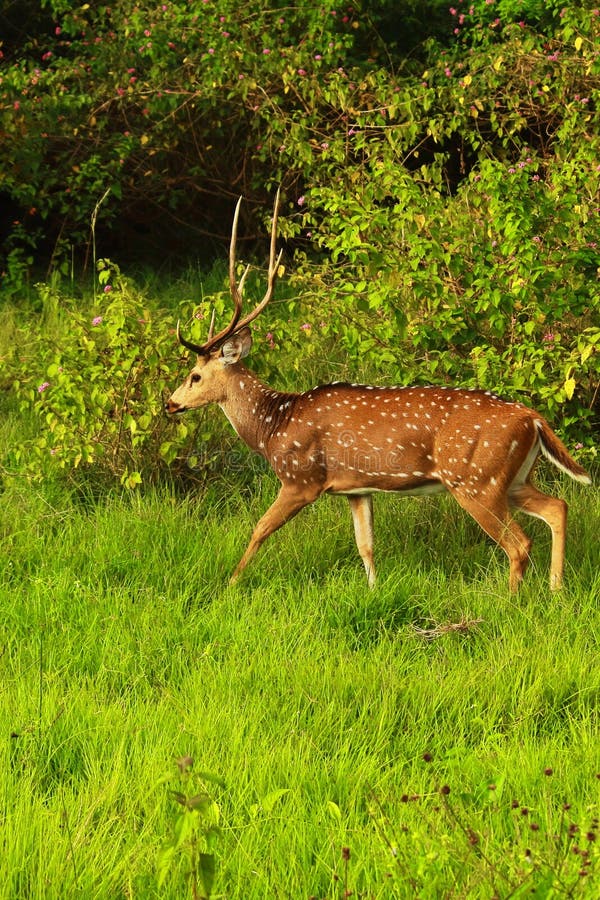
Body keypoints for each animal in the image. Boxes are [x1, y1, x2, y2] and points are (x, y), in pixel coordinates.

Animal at [166, 193, 592, 596]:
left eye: (194, 376)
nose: (170, 404)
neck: (273, 426)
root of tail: (533, 419)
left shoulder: (301, 479)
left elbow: (259, 529)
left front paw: (231, 582)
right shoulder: (356, 488)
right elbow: (366, 545)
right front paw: (373, 590)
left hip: (475, 479)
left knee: (519, 544)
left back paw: (511, 600)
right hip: (513, 477)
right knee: (558, 506)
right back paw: (555, 589)